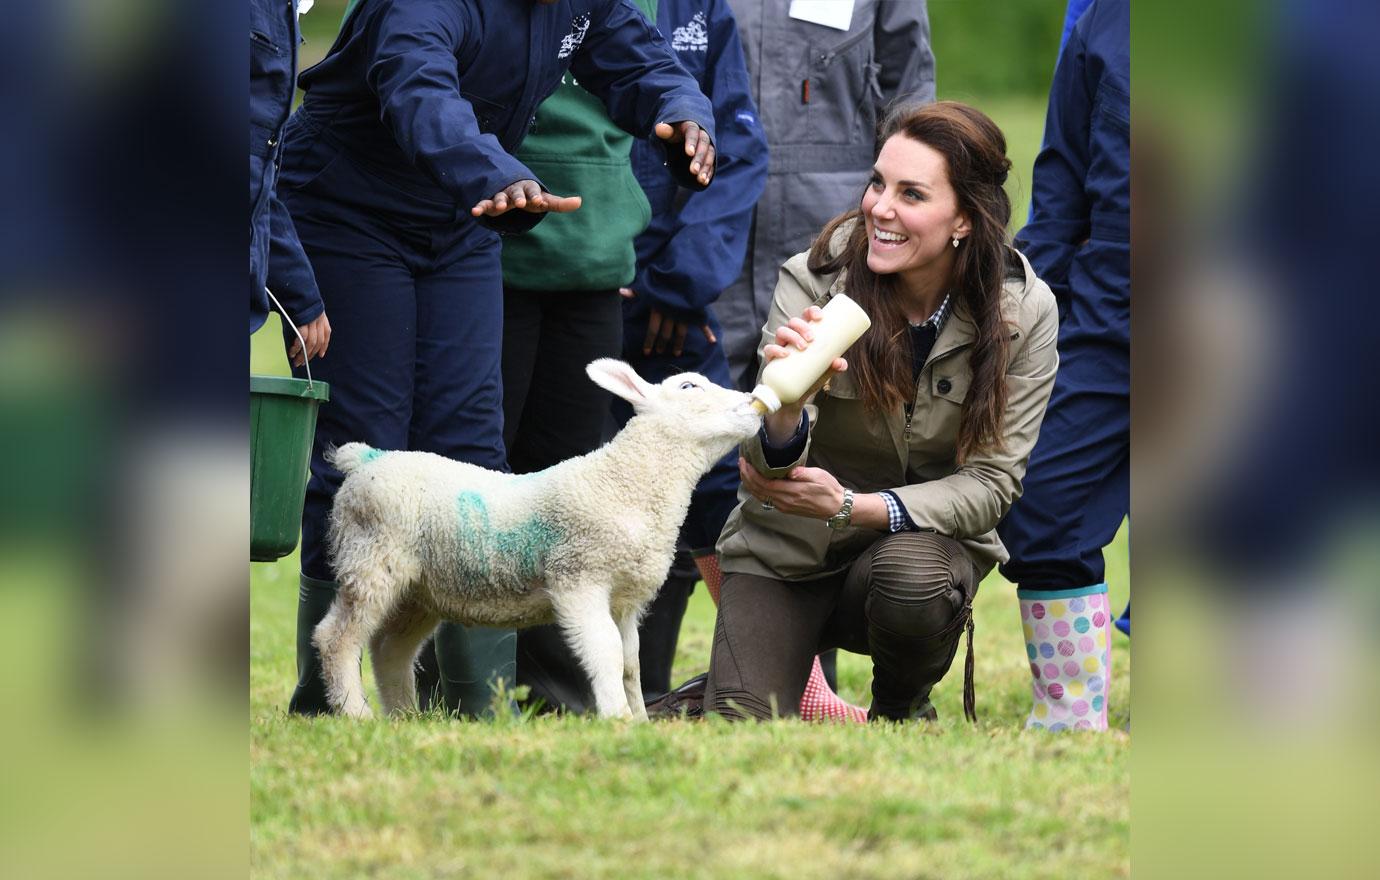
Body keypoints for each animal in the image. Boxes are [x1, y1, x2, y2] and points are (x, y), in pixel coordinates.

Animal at [316, 358, 767, 722]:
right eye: (689, 386)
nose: (753, 403)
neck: (625, 483)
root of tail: (366, 459)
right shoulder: (579, 579)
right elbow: (605, 652)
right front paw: (617, 717)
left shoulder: (625, 599)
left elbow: (630, 662)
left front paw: (640, 719)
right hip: (371, 557)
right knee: (336, 638)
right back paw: (356, 712)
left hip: (419, 589)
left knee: (390, 649)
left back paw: (404, 716)